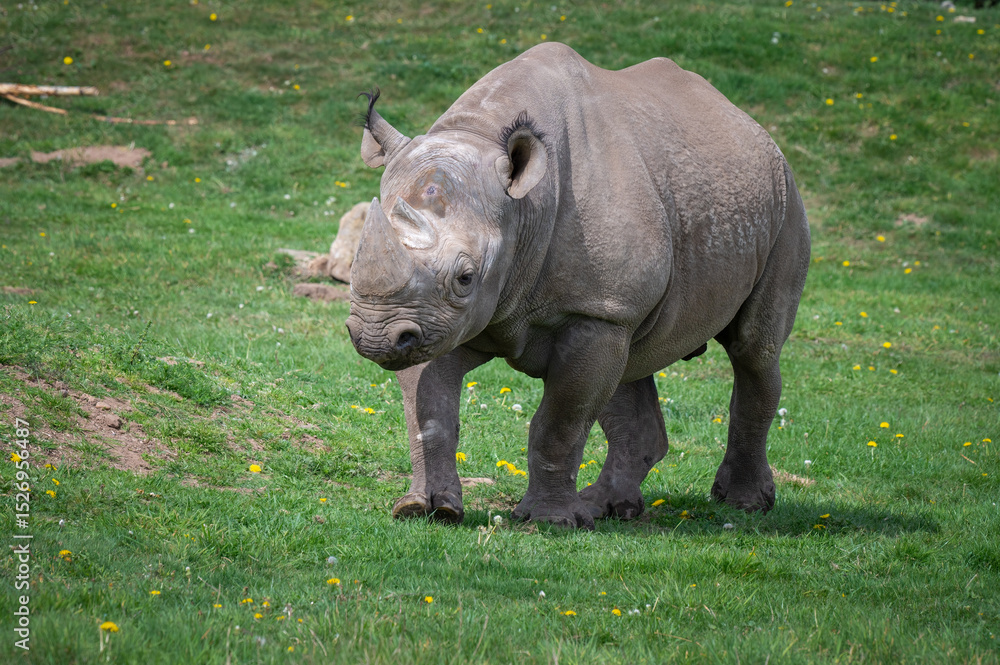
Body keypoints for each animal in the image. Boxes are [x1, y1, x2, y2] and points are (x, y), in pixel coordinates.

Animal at [345, 42, 810, 529]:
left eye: (465, 277)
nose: (374, 337)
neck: (522, 207)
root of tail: (748, 122)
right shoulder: (431, 319)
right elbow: (430, 413)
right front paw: (425, 509)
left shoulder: (592, 310)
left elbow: (560, 421)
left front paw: (548, 521)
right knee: (631, 364)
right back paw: (606, 508)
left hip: (784, 199)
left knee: (753, 350)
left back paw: (743, 504)